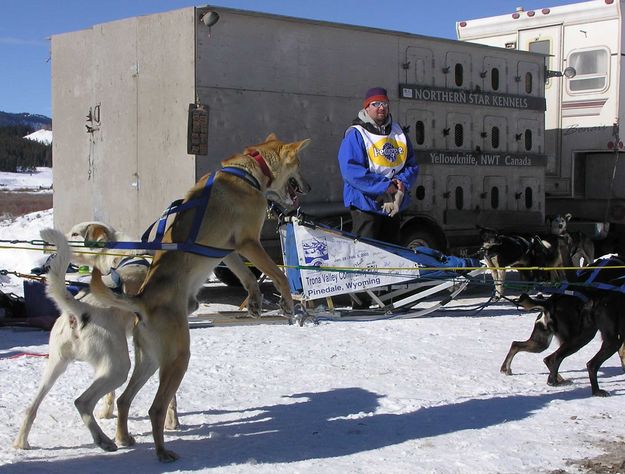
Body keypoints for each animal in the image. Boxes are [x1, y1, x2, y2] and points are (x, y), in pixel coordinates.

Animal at [89, 133, 310, 462]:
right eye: (299, 167)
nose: (308, 188)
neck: (249, 173)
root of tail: (142, 300)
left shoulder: (229, 250)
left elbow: (248, 279)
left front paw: (255, 303)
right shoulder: (248, 242)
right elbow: (279, 275)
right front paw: (286, 302)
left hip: (150, 361)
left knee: (124, 400)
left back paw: (124, 437)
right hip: (178, 358)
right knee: (155, 409)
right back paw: (162, 452)